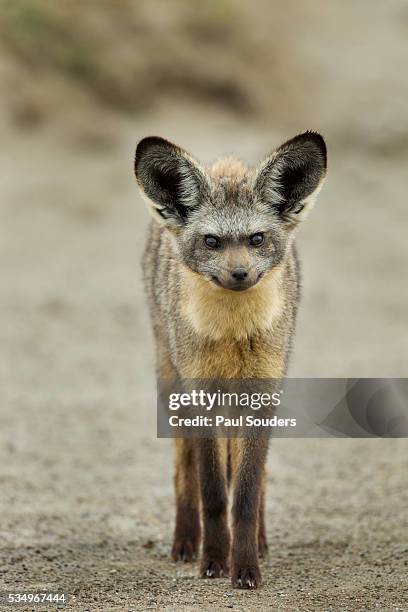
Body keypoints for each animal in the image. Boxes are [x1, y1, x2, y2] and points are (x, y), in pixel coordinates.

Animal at [135, 133, 326, 588]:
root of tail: (226, 162)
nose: (239, 274)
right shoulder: (200, 394)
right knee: (184, 473)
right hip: (172, 389)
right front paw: (214, 561)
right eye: (212, 241)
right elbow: (213, 493)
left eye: (256, 239)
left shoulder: (262, 397)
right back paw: (187, 542)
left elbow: (245, 493)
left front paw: (246, 568)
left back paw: (260, 540)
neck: (232, 337)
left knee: (254, 482)